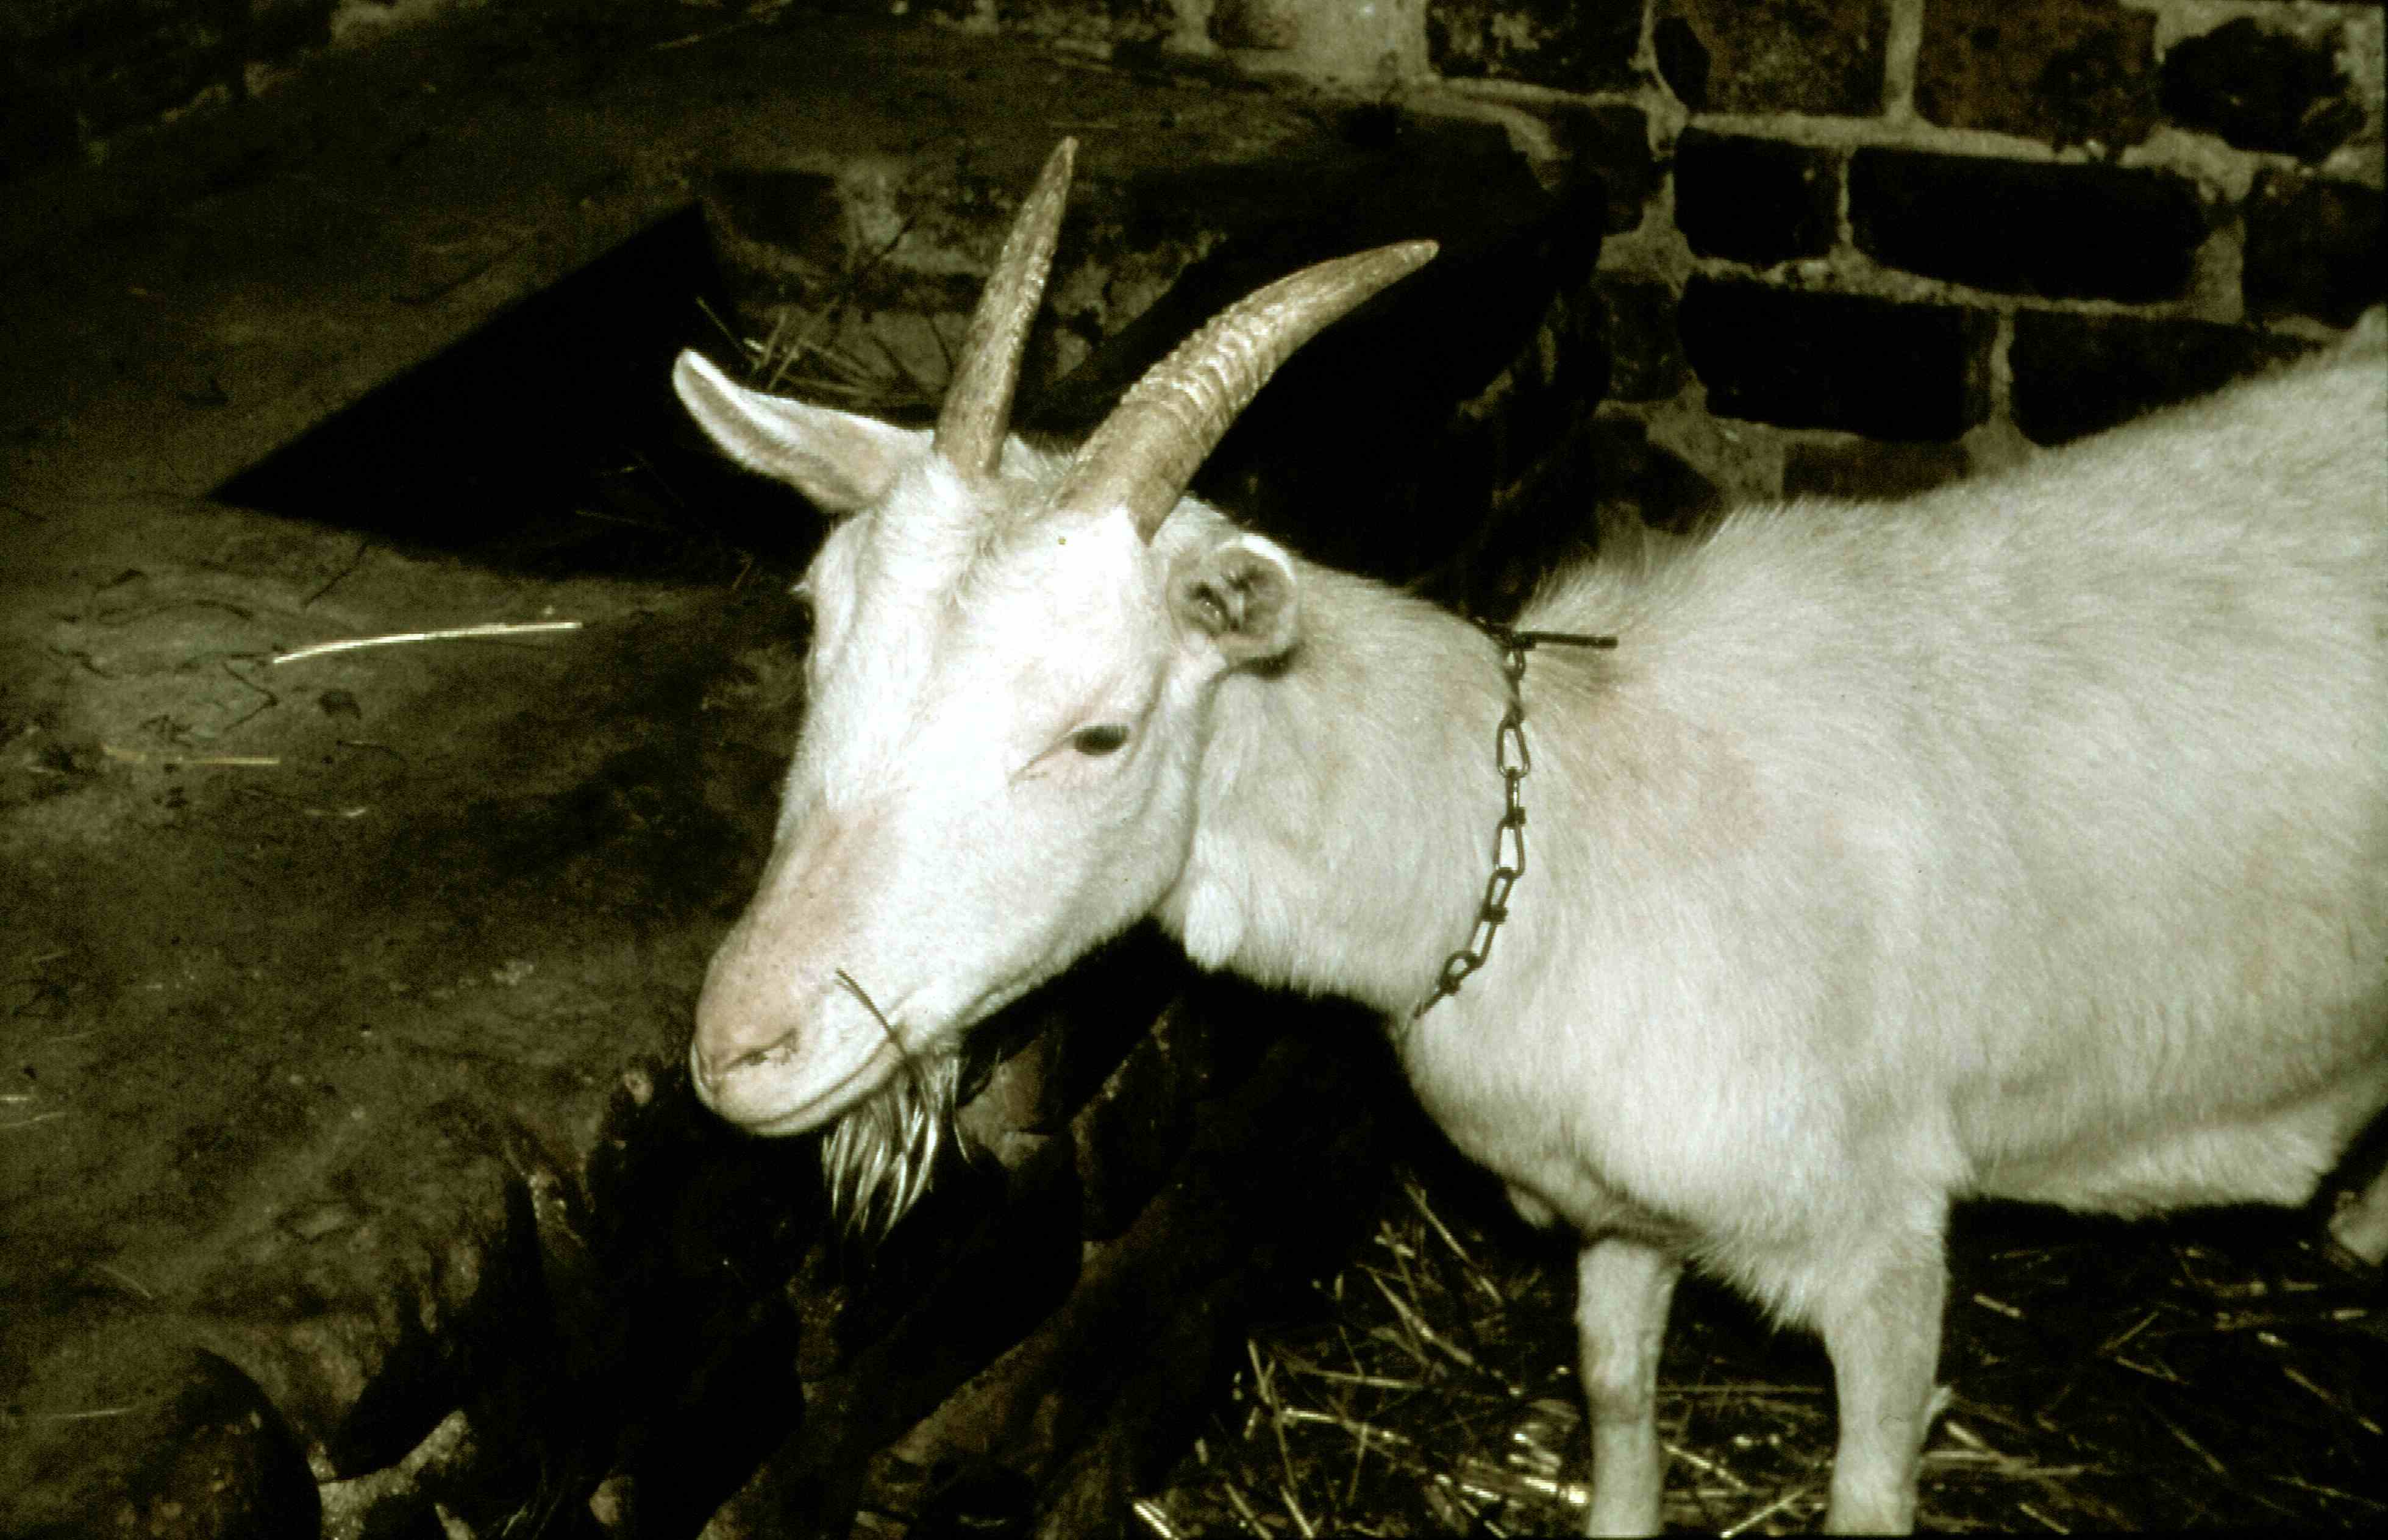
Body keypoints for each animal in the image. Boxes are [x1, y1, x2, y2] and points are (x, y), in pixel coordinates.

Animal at [675, 139, 2388, 1533]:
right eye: (815, 620)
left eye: (1097, 729)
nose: (741, 1046)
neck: (1545, 826)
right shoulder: (1611, 1219)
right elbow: (1616, 1404)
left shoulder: (1882, 1240)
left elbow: (1867, 1484)